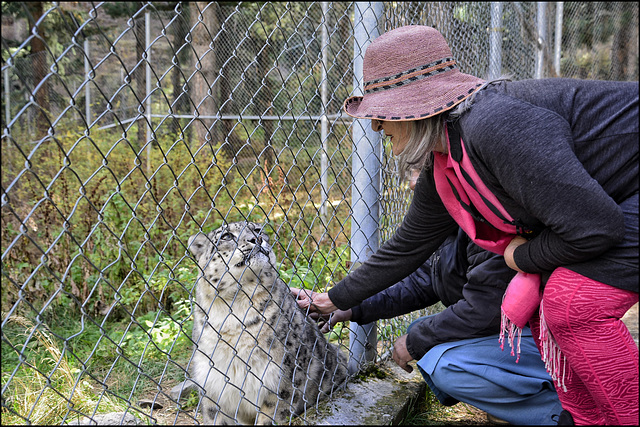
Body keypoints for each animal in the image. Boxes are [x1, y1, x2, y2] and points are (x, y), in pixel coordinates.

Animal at [189, 222, 350, 426]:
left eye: (257, 230)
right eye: (226, 236)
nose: (256, 239)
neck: (235, 306)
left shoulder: (283, 377)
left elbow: (273, 415)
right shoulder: (213, 388)